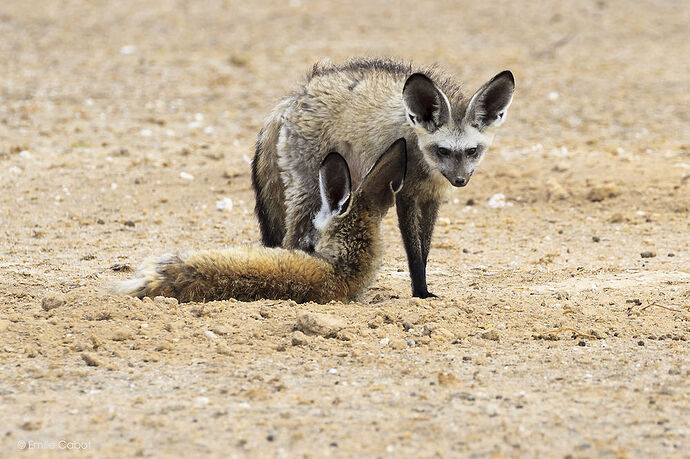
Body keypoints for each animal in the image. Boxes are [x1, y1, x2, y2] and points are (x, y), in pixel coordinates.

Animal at [251, 57, 510, 298]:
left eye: (472, 151)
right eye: (443, 151)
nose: (460, 180)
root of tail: (299, 92)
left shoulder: (432, 198)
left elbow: (425, 249)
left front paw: (423, 288)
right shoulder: (406, 195)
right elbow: (414, 253)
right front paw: (420, 292)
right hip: (310, 190)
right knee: (292, 240)